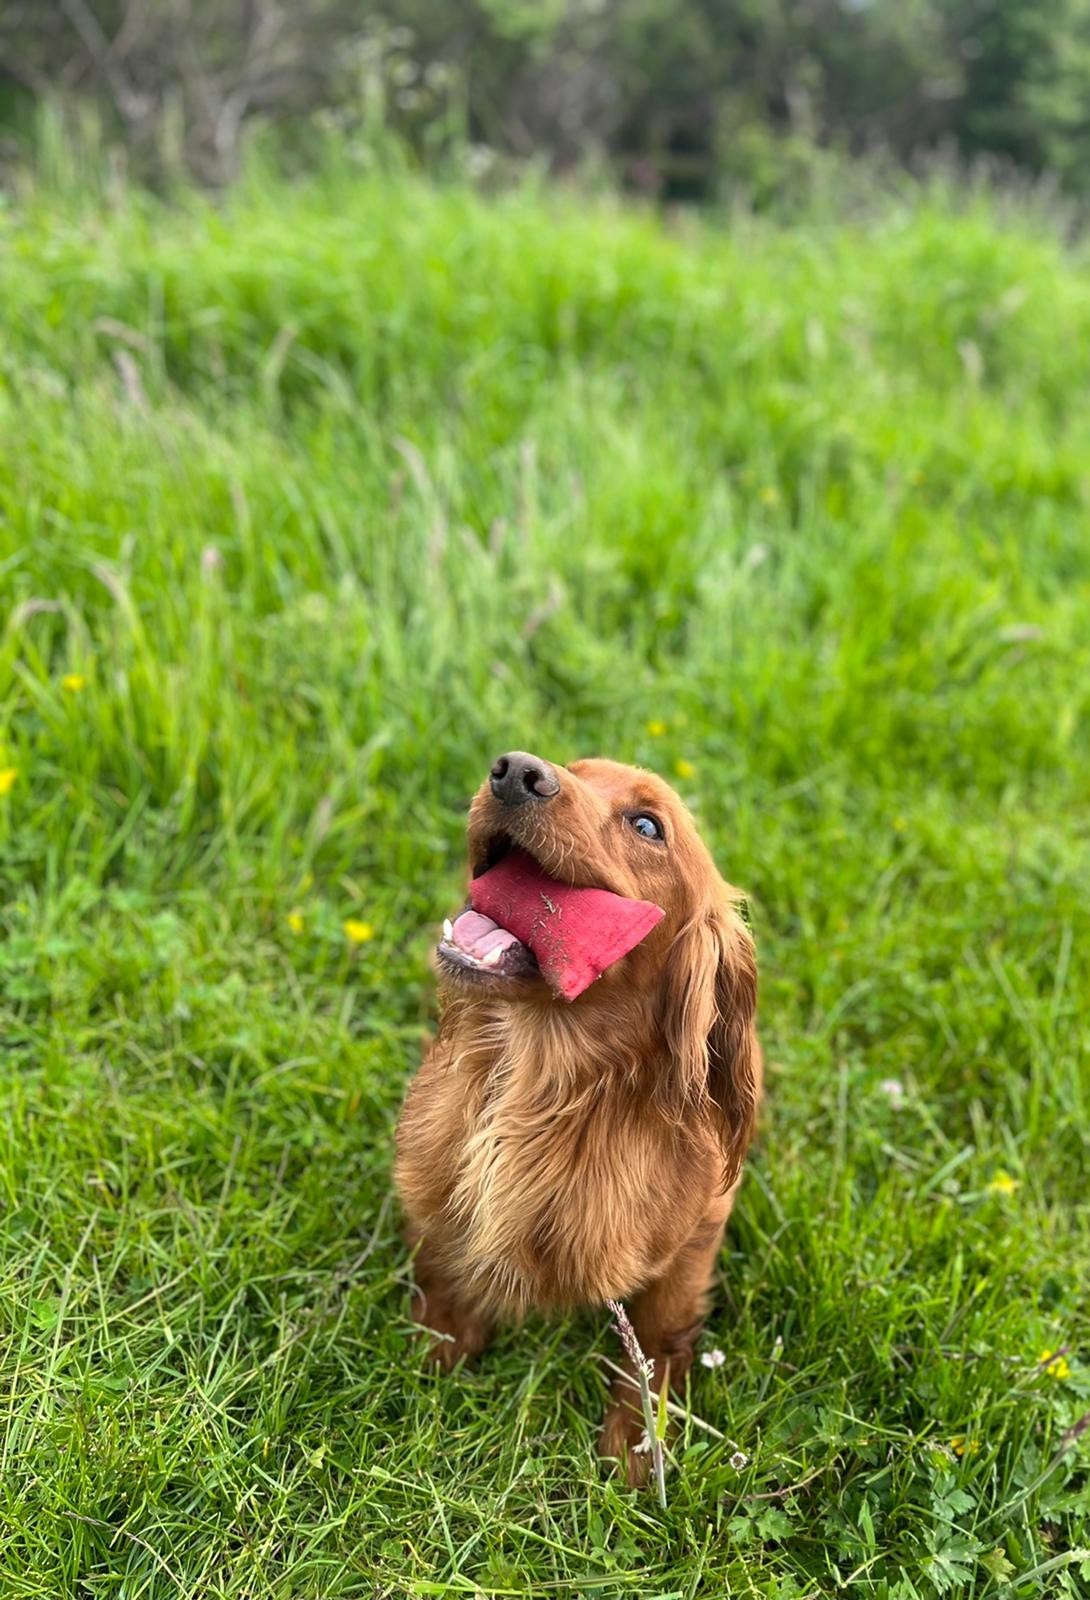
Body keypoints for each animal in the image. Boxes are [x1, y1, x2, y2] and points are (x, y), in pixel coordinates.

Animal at [390, 748, 755, 1472]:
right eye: (578, 767)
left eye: (647, 825)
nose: (514, 771)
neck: (537, 1085)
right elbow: (441, 1266)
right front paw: (438, 1350)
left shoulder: (697, 1232)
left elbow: (658, 1341)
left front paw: (639, 1443)